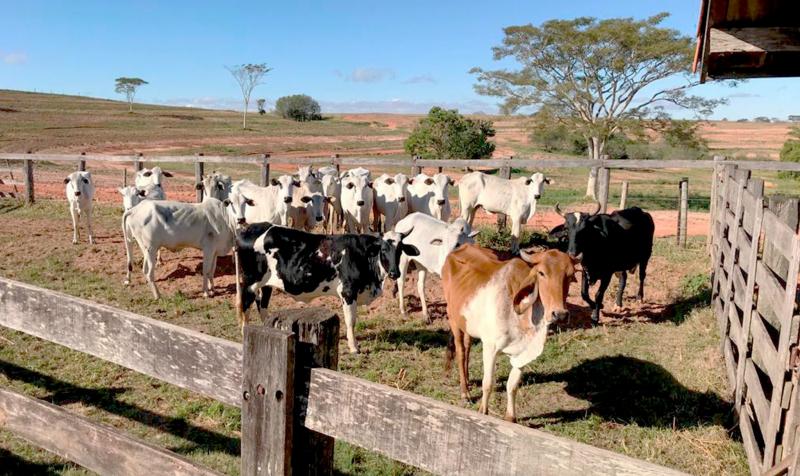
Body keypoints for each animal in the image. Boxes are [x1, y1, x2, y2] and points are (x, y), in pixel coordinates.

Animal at [234, 223, 418, 354]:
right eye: (384, 249)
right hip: (250, 283)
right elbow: (351, 320)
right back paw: (244, 333)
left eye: (400, 250)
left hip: (266, 285)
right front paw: (354, 347)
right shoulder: (348, 292)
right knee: (245, 306)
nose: (395, 273)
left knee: (262, 305)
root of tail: (247, 229)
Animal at [440, 244, 580, 422]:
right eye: (541, 273)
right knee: (460, 351)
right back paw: (465, 392)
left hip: (467, 325)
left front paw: (510, 418)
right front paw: (483, 412)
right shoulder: (490, 347)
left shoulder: (523, 353)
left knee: (467, 346)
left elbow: (512, 386)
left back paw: (468, 379)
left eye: (570, 275)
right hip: (453, 319)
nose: (560, 314)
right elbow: (488, 383)